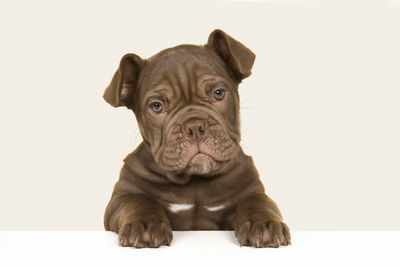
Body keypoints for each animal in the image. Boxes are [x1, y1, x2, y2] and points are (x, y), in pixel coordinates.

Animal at [103, 29, 290, 249]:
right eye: (157, 106)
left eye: (218, 93)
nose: (194, 127)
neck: (194, 181)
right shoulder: (120, 197)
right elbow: (137, 200)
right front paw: (145, 224)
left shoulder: (250, 190)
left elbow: (257, 201)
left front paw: (263, 222)